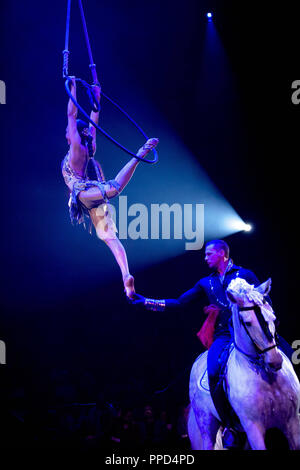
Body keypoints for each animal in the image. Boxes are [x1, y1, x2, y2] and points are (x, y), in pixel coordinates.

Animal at [188, 278, 300, 450]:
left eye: (273, 317)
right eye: (248, 323)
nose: (275, 361)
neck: (267, 376)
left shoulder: (292, 421)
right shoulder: (253, 428)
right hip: (206, 425)